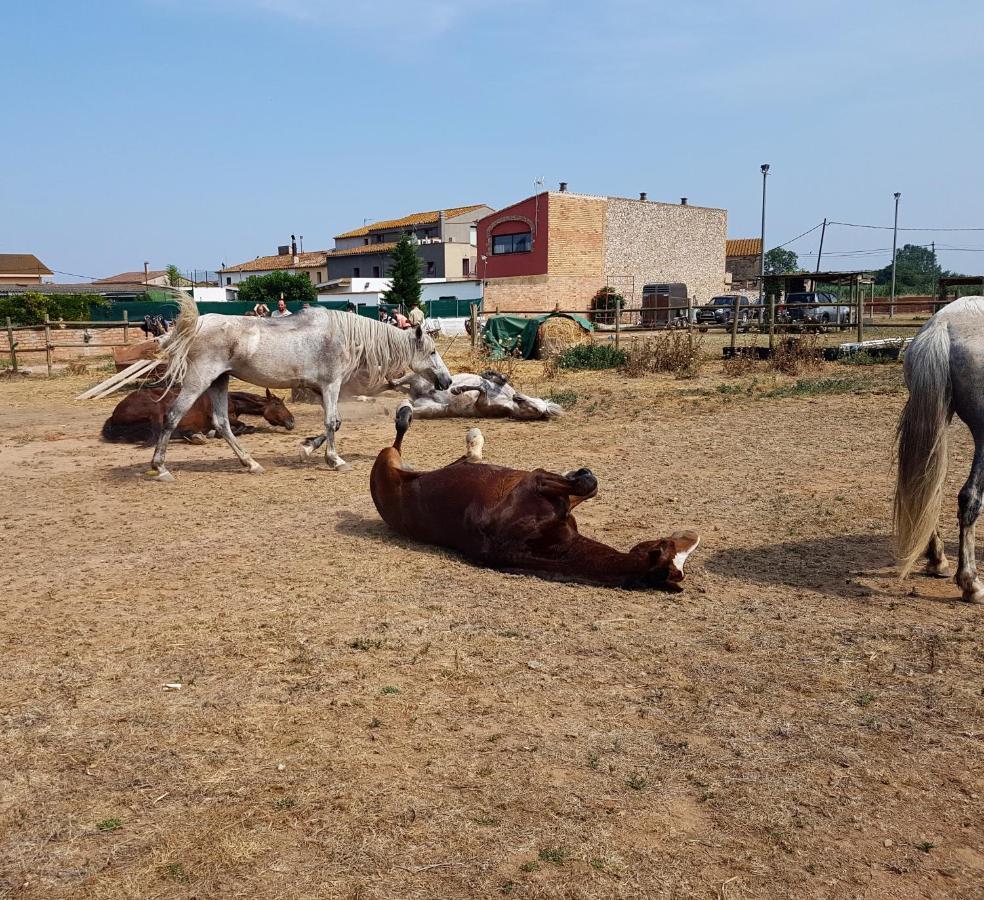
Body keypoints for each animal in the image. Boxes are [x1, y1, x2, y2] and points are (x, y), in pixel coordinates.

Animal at [105, 386, 296, 442]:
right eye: (277, 404)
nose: (292, 421)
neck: (230, 400)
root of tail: (114, 416)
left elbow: (248, 427)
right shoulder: (225, 418)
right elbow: (243, 427)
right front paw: (216, 433)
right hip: (156, 410)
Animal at [149, 296, 454, 482]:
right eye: (432, 351)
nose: (448, 381)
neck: (343, 336)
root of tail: (197, 325)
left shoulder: (322, 389)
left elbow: (335, 422)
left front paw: (307, 448)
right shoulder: (331, 385)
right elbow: (331, 422)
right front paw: (335, 460)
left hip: (219, 382)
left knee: (222, 423)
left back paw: (250, 463)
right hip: (199, 380)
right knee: (173, 416)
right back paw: (160, 468)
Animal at [368, 402, 700, 592]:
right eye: (667, 544)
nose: (691, 535)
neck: (551, 546)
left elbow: (579, 490)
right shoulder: (535, 481)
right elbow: (585, 486)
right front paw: (580, 474)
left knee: (460, 459)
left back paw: (471, 442)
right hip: (387, 459)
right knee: (398, 438)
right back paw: (407, 413)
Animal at [390, 370, 560, 418]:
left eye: (535, 410)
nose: (517, 397)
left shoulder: (482, 405)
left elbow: (481, 390)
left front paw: (457, 390)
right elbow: (500, 378)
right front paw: (488, 373)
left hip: (430, 407)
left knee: (403, 396)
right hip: (418, 377)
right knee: (399, 383)